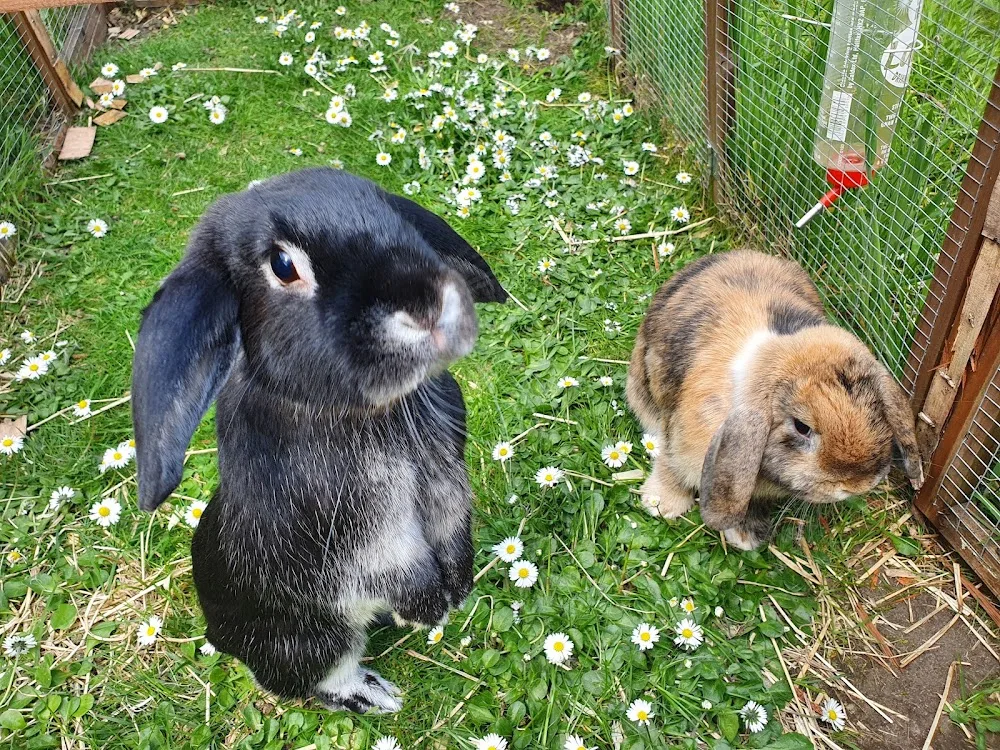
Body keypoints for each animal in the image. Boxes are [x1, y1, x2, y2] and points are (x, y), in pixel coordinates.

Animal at [131, 167, 506, 714]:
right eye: (283, 265)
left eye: (384, 206)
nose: (428, 307)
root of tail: (222, 636)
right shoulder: (361, 534)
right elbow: (397, 568)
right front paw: (430, 610)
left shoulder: (445, 485)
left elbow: (452, 528)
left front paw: (458, 589)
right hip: (317, 637)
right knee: (315, 677)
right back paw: (375, 696)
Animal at [626, 250, 923, 550]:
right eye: (801, 427)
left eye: (877, 411)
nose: (857, 485)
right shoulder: (678, 432)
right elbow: (671, 465)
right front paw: (662, 504)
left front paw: (746, 536)